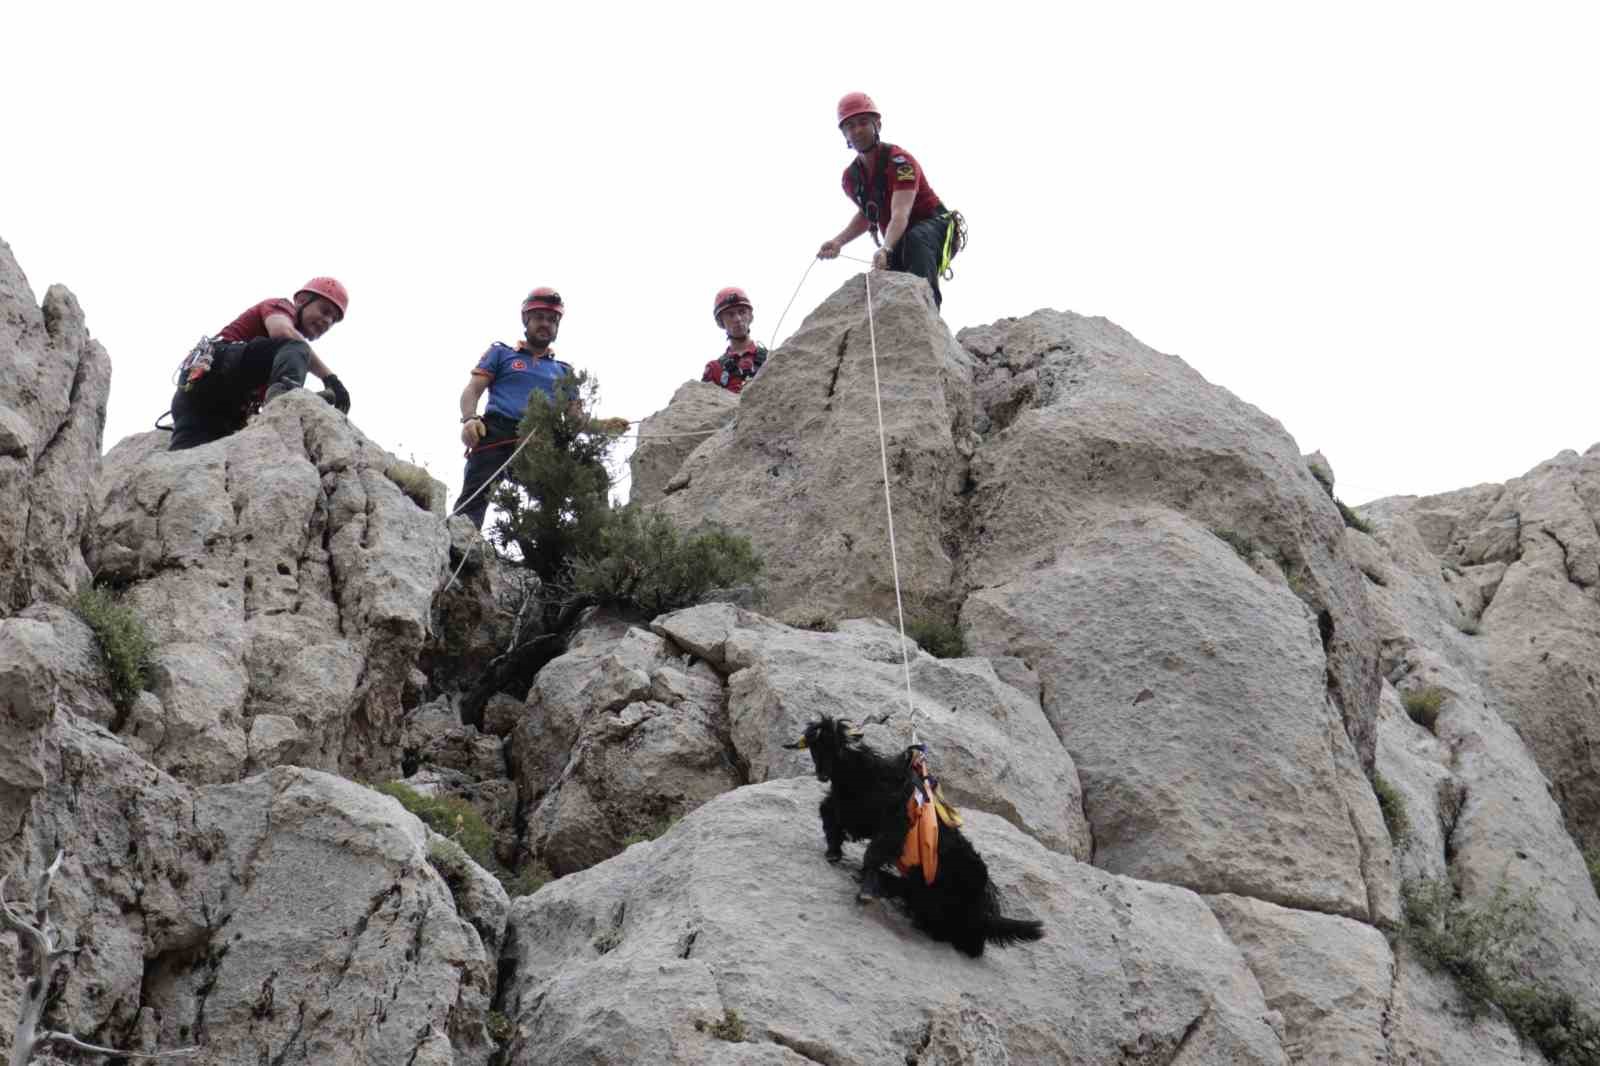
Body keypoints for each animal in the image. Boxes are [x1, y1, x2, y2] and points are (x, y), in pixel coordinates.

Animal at [780, 713, 1043, 953]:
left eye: (836, 749)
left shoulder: (890, 829)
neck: (870, 777)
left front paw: (865, 892)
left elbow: (872, 854)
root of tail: (985, 913)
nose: (822, 775)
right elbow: (829, 815)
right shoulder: (853, 812)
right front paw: (834, 853)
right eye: (814, 748)